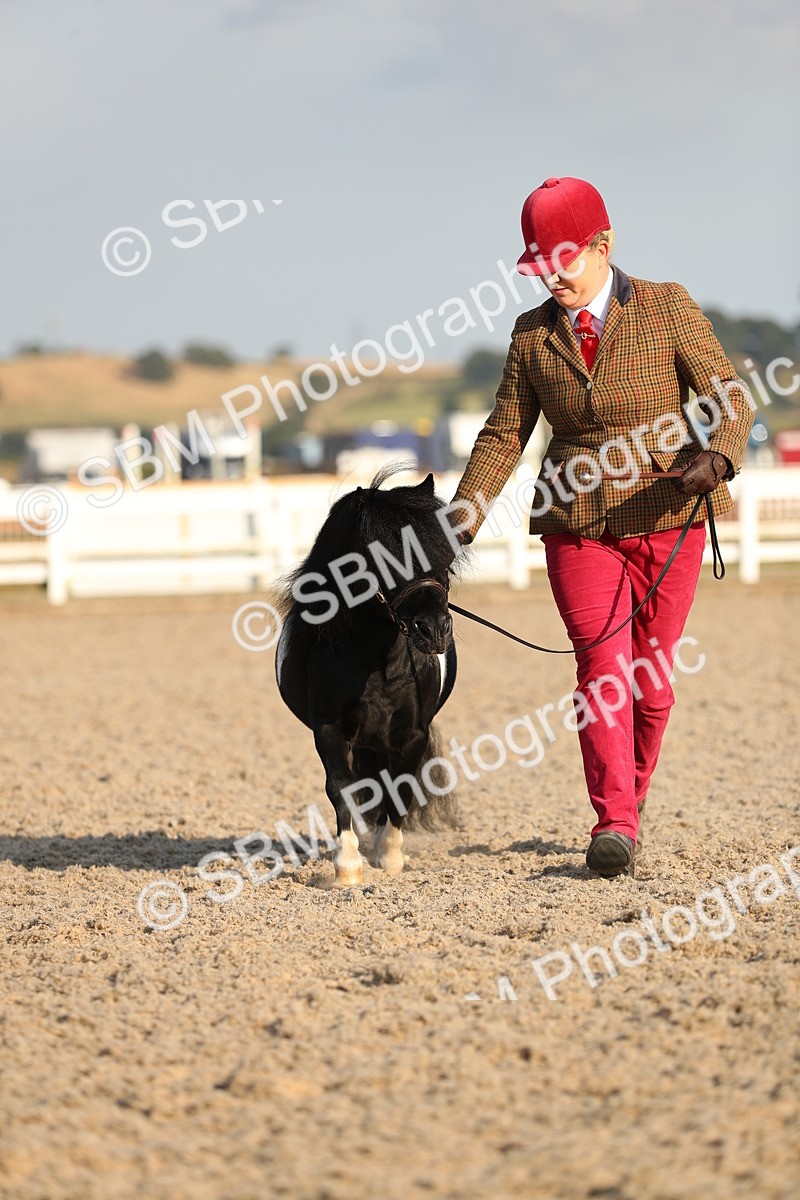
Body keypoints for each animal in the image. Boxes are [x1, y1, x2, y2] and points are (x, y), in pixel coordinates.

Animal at [274, 467, 462, 886]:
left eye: (443, 554)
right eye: (384, 558)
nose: (435, 630)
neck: (379, 665)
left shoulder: (412, 735)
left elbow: (400, 790)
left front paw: (389, 860)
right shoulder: (329, 731)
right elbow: (340, 789)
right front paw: (347, 868)